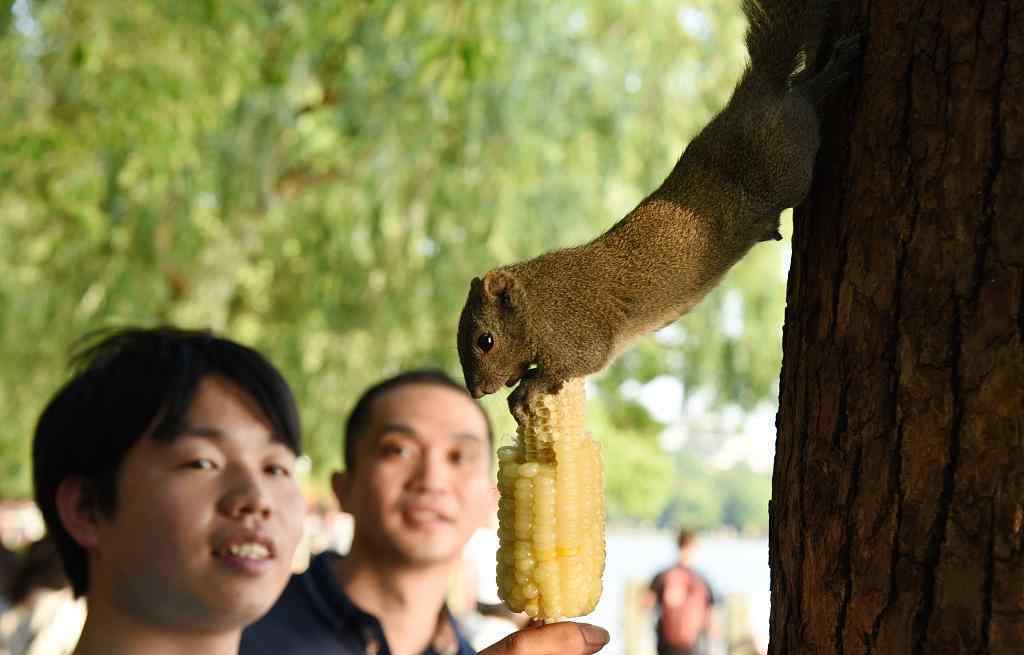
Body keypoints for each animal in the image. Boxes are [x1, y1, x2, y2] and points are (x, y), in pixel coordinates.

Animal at [456, 0, 856, 417]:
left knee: (804, 101)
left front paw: (526, 392)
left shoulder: (577, 332)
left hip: (787, 161)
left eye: (485, 340)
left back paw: (836, 69)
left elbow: (578, 363)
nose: (477, 391)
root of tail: (754, 91)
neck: (538, 303)